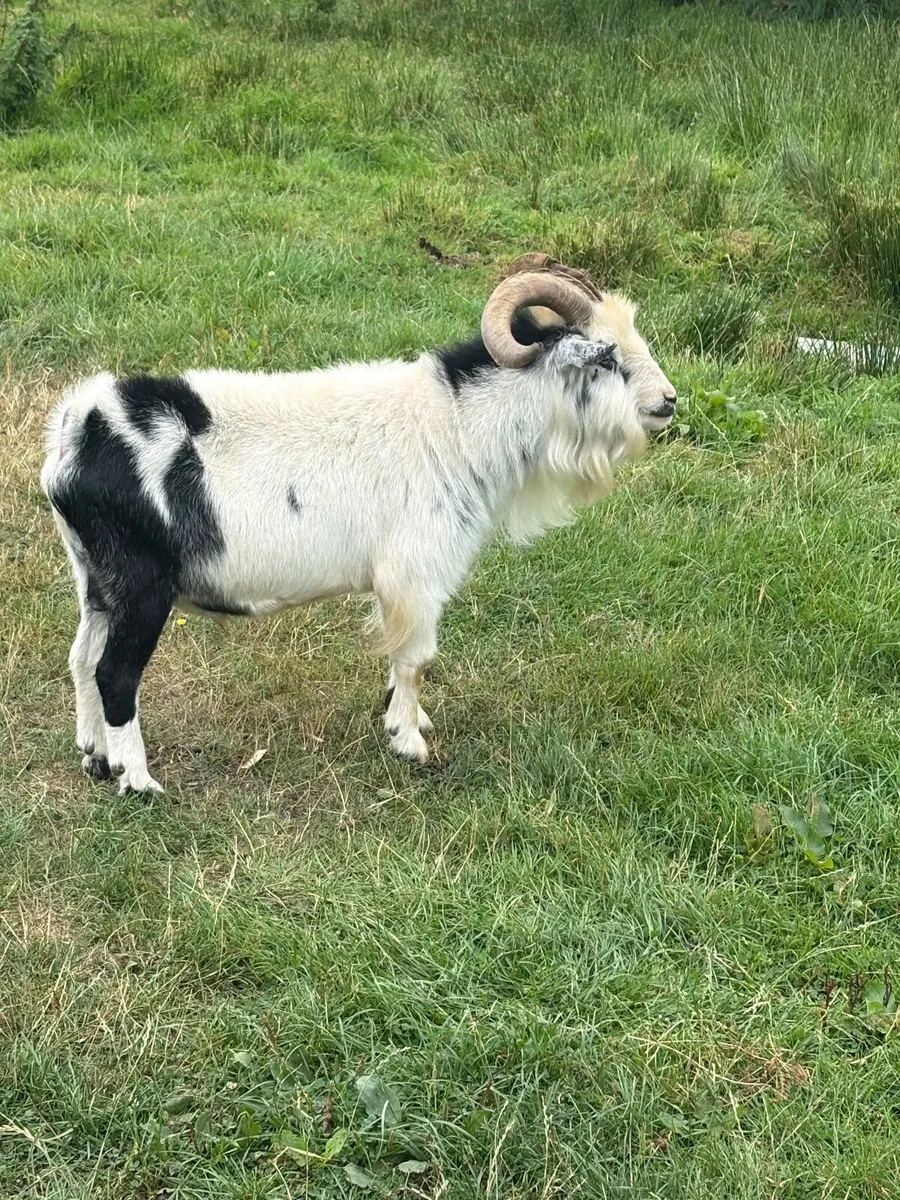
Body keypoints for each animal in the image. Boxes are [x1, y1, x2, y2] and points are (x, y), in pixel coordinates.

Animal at [41, 253, 677, 792]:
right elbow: (415, 659)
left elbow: (402, 665)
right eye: (607, 357)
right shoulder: (415, 575)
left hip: (96, 580)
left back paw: (96, 757)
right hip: (141, 585)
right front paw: (410, 742)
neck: (455, 426)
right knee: (114, 673)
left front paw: (404, 718)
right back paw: (138, 781)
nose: (668, 401)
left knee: (81, 659)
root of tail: (77, 431)